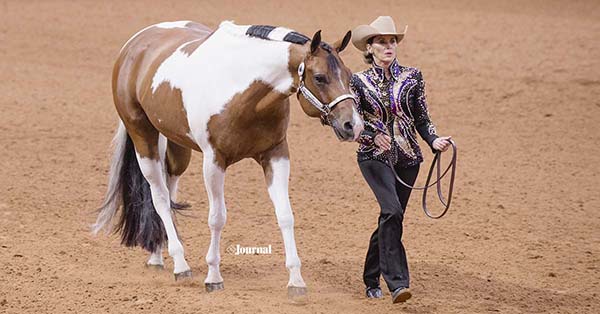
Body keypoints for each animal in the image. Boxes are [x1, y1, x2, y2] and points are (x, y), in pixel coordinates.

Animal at [92, 20, 366, 300]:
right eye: (320, 77)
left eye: (349, 75)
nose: (353, 126)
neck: (243, 89)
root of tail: (135, 45)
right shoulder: (214, 161)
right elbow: (217, 218)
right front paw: (213, 276)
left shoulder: (276, 154)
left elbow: (285, 215)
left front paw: (296, 281)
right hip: (143, 138)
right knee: (159, 198)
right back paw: (180, 265)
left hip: (177, 147)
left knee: (168, 191)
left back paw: (158, 255)